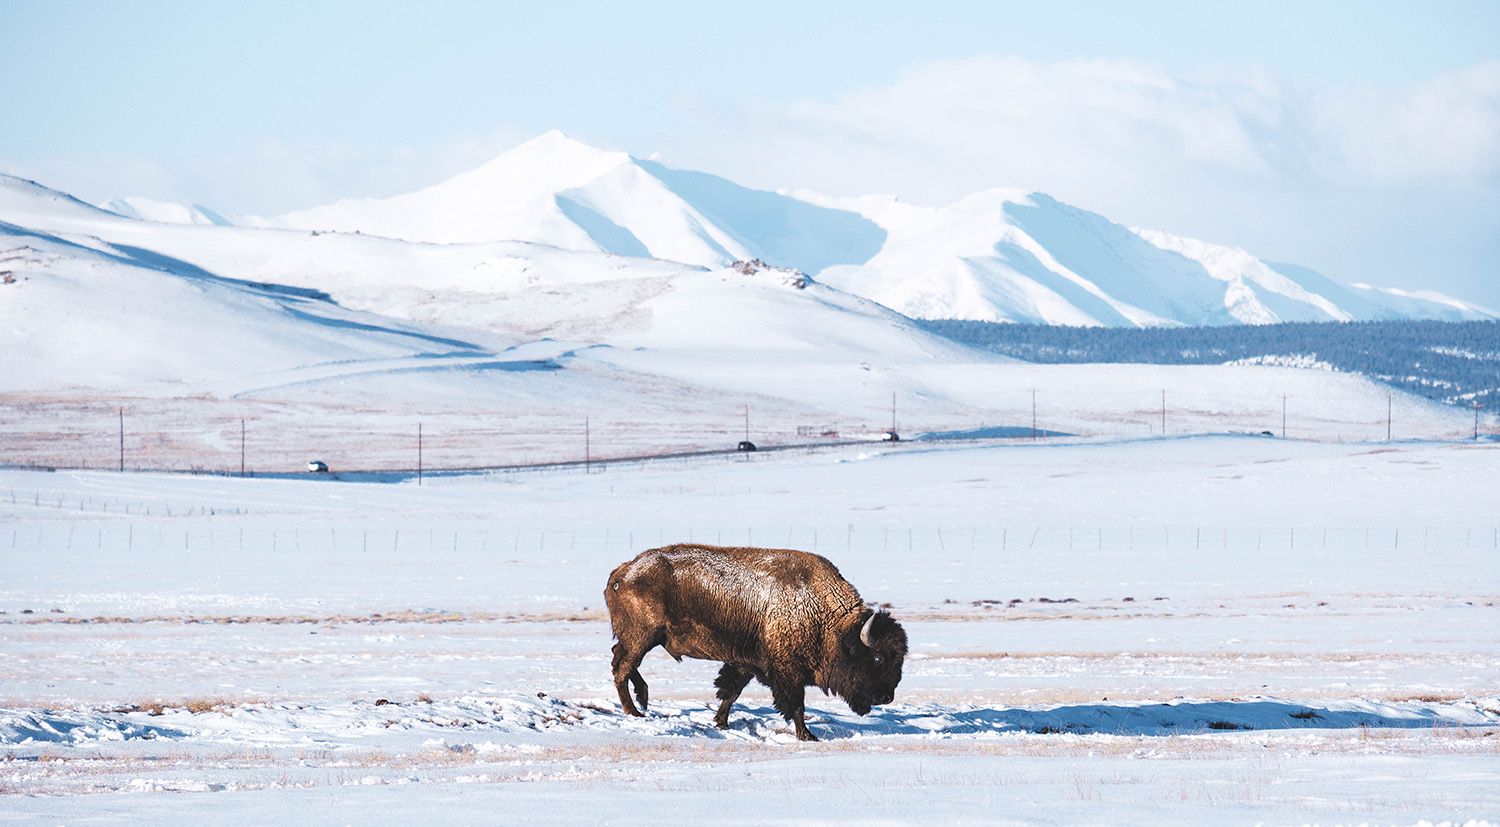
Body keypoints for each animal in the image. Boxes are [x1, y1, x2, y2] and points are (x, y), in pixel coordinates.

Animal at [603, 543, 906, 744]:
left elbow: (730, 692)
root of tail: (624, 570)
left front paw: (721, 723)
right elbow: (796, 705)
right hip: (642, 636)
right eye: (877, 658)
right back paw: (634, 711)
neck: (830, 622)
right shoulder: (787, 673)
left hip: (642, 638)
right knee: (622, 668)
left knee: (622, 661)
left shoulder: (745, 663)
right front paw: (807, 736)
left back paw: (642, 698)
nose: (886, 697)